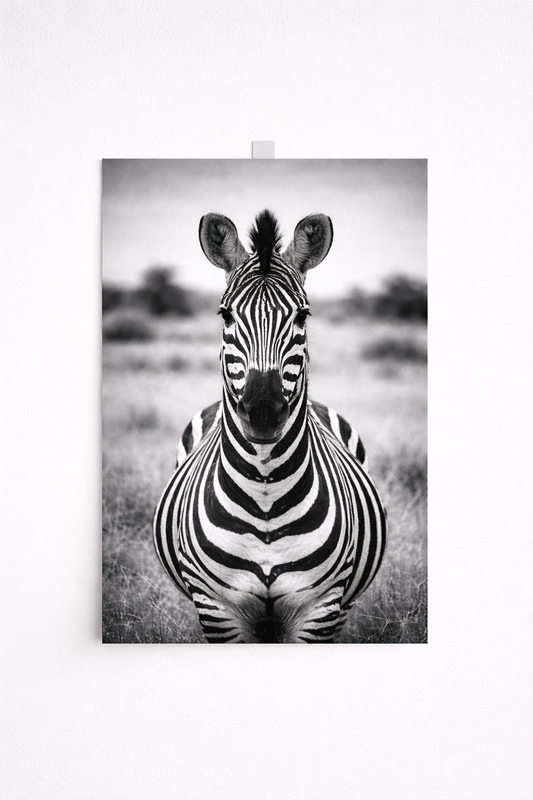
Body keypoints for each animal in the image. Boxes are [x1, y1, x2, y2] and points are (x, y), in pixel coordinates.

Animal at [153, 210, 386, 643]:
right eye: (225, 314)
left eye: (303, 315)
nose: (263, 412)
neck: (265, 495)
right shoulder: (217, 609)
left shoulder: (321, 607)